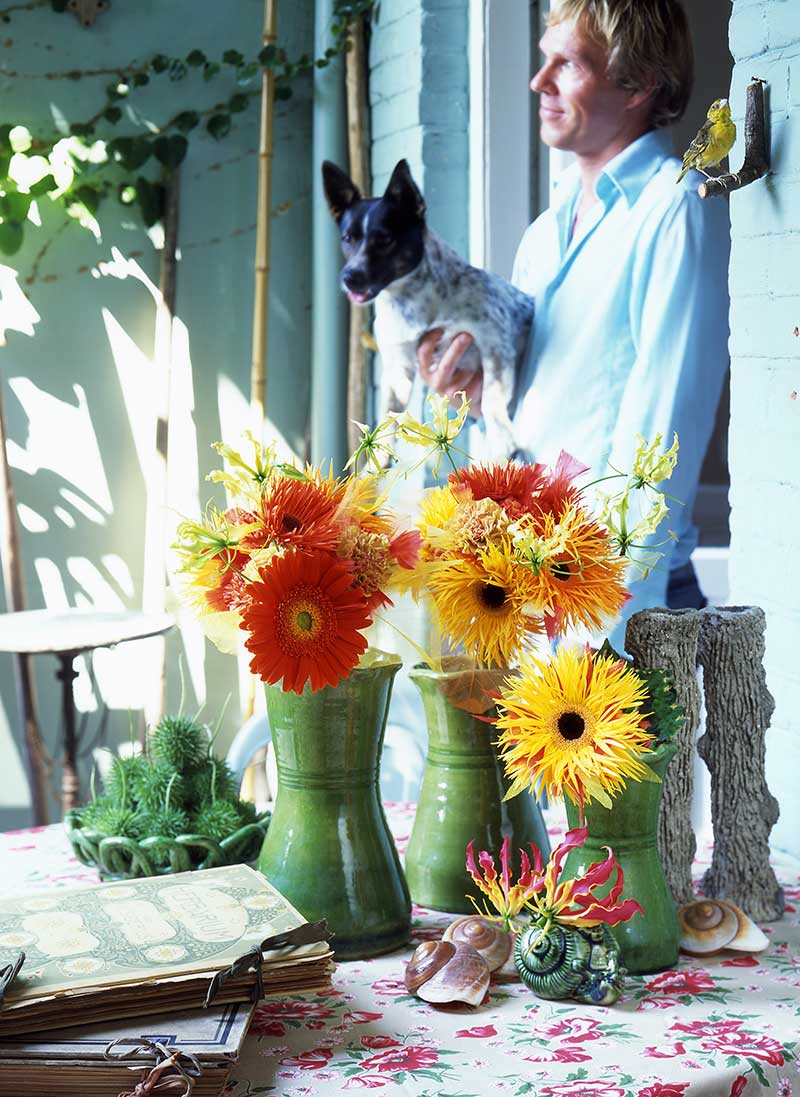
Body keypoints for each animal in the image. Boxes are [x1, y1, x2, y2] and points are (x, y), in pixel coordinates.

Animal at [320, 159, 533, 458]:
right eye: (347, 238)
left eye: (384, 239)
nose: (349, 277)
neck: (411, 302)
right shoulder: (398, 369)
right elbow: (387, 419)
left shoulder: (495, 344)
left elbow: (492, 397)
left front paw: (503, 438)